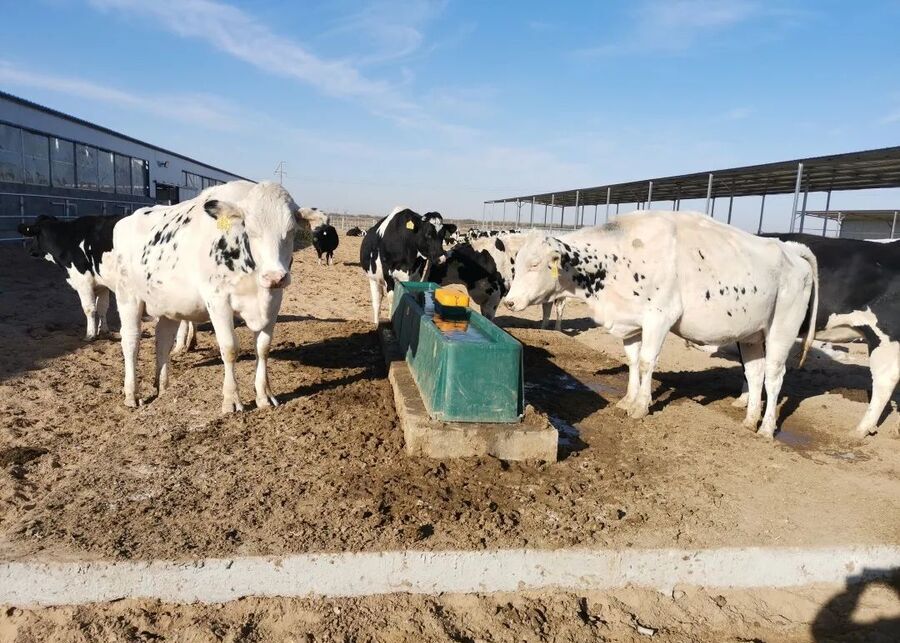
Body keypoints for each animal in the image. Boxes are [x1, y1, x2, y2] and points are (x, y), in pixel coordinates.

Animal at [112, 180, 299, 413]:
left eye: (291, 231)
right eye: (251, 230)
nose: (275, 276)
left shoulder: (274, 300)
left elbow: (263, 348)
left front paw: (264, 396)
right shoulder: (218, 300)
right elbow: (229, 348)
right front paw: (231, 399)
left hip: (168, 303)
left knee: (162, 339)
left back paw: (163, 389)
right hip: (127, 296)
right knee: (131, 340)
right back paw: (132, 394)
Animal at [504, 211, 819, 438]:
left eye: (534, 264)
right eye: (516, 262)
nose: (509, 301)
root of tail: (788, 248)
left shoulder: (659, 316)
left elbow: (646, 362)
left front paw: (641, 406)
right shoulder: (630, 323)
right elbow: (632, 361)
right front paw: (627, 400)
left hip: (781, 328)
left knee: (774, 376)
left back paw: (766, 428)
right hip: (751, 333)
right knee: (754, 374)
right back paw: (750, 420)